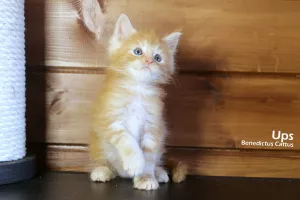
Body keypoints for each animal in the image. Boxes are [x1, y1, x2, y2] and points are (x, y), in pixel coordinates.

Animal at [88, 13, 183, 190]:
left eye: (158, 58)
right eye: (138, 51)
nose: (149, 61)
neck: (138, 89)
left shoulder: (154, 126)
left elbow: (149, 156)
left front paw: (145, 177)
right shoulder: (110, 118)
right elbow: (126, 140)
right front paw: (135, 162)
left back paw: (159, 172)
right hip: (99, 144)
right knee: (106, 163)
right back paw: (103, 170)